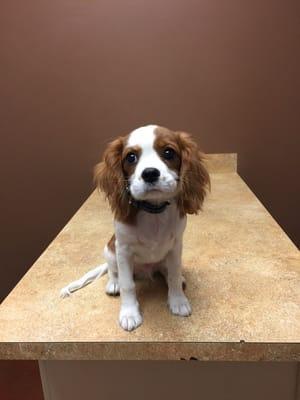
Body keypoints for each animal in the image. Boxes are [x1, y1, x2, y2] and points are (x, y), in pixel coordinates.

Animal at [61, 125, 210, 332]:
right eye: (131, 157)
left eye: (169, 152)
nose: (150, 173)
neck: (154, 211)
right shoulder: (123, 250)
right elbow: (127, 285)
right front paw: (129, 313)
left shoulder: (175, 247)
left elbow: (172, 275)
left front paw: (178, 300)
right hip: (109, 250)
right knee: (112, 270)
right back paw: (113, 283)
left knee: (167, 271)